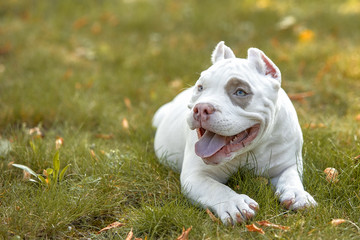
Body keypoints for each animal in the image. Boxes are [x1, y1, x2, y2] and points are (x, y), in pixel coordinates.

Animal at [153, 41, 316, 225]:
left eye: (240, 92)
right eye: (200, 88)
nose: (201, 108)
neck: (252, 149)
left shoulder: (288, 164)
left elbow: (290, 178)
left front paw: (298, 194)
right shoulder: (196, 176)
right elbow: (216, 188)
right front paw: (235, 204)